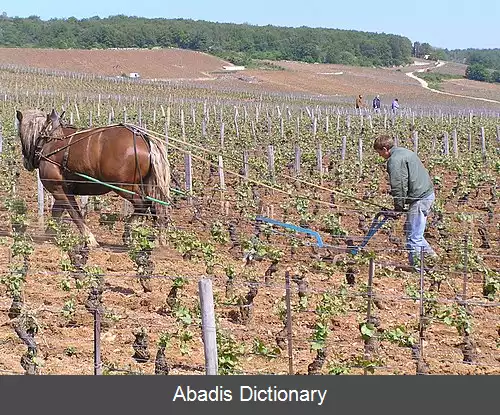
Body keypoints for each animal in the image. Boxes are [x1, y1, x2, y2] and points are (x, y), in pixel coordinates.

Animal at [16, 109, 171, 249]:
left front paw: (89, 239)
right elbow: (57, 212)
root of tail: (144, 138)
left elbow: (74, 213)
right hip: (148, 185)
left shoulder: (57, 188)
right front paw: (49, 235)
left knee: (143, 204)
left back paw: (128, 233)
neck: (48, 140)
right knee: (154, 208)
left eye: (20, 133)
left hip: (124, 186)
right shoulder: (64, 188)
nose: (26, 162)